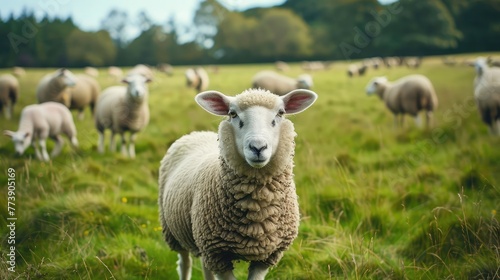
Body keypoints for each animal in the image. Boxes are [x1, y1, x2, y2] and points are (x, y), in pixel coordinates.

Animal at [158, 88, 318, 280]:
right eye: (232, 114)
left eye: (280, 113)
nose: (258, 147)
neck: (257, 207)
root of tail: (197, 133)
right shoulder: (218, 254)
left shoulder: (267, 256)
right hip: (174, 232)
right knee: (184, 264)